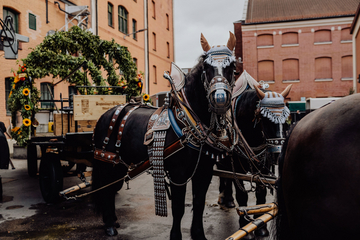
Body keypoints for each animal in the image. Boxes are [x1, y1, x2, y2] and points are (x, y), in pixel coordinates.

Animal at [92, 32, 239, 240]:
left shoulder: (204, 171)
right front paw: (175, 236)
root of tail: (107, 113)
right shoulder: (179, 173)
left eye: (232, 67)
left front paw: (198, 234)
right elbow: (178, 208)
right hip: (105, 161)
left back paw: (112, 220)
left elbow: (199, 204)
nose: (219, 98)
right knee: (105, 189)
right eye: (207, 67)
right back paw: (110, 225)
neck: (189, 123)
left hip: (118, 163)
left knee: (111, 189)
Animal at [218, 78, 292, 239]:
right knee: (223, 175)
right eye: (266, 119)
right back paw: (225, 197)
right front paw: (244, 225)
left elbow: (261, 192)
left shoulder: (264, 167)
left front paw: (261, 227)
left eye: (286, 119)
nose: (278, 154)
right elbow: (242, 195)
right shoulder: (237, 168)